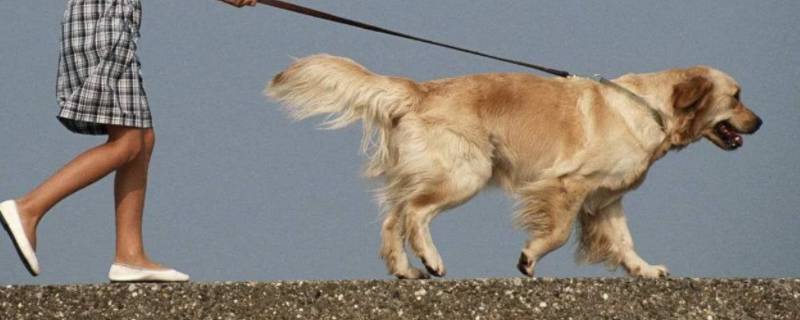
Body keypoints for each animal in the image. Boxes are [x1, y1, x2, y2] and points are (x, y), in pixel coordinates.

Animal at [266, 53, 760, 278]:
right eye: (736, 97)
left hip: (431, 171)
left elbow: (624, 241)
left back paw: (405, 269)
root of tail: (420, 90)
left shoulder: (605, 200)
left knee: (394, 215)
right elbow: (556, 233)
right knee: (415, 214)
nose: (759, 122)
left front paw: (645, 269)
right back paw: (431, 259)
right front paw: (529, 257)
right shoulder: (567, 184)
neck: (652, 109)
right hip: (467, 172)